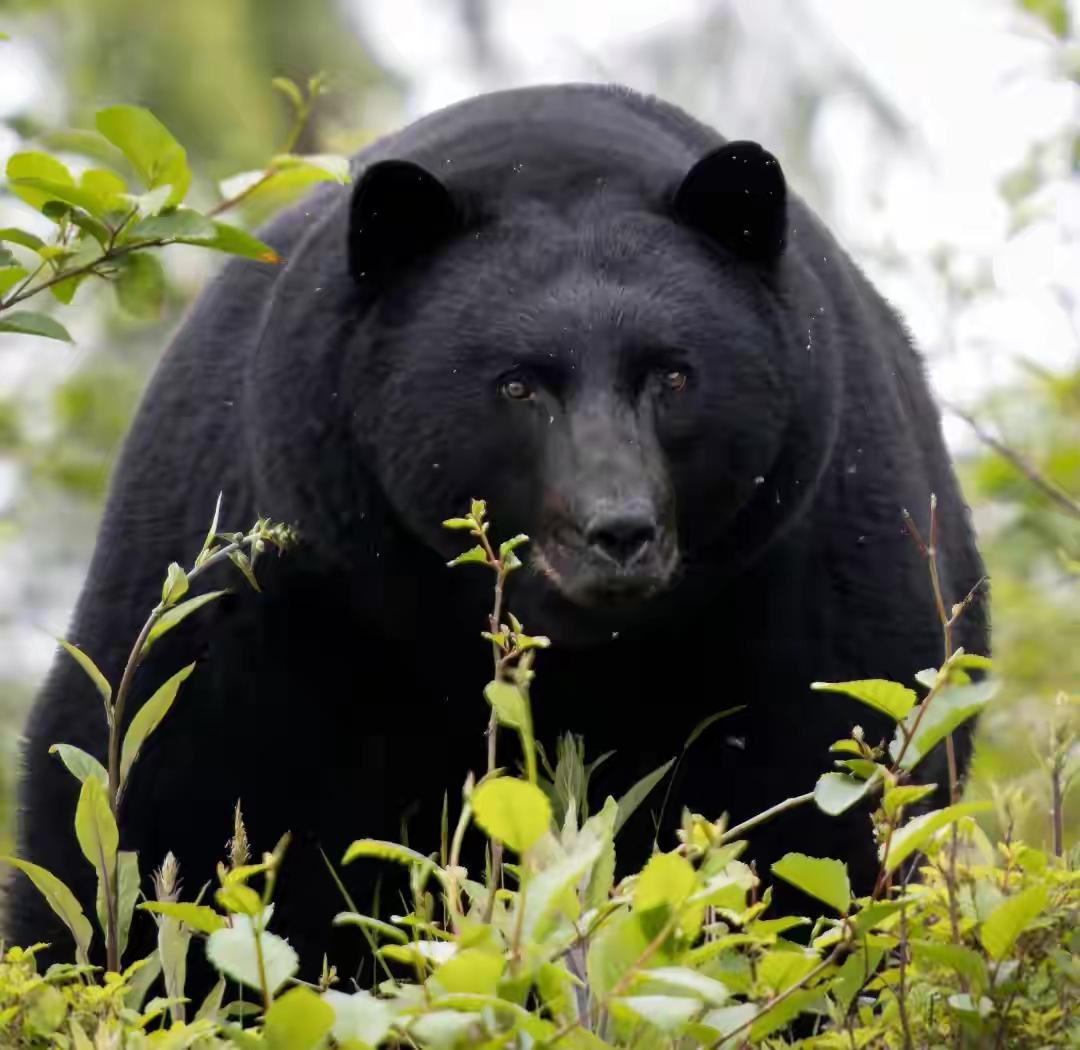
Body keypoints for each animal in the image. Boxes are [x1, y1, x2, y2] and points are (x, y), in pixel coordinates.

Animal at [6, 83, 987, 989]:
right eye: (519, 384)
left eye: (673, 375)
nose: (618, 530)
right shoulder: (265, 580)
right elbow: (153, 810)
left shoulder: (809, 571)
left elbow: (821, 804)